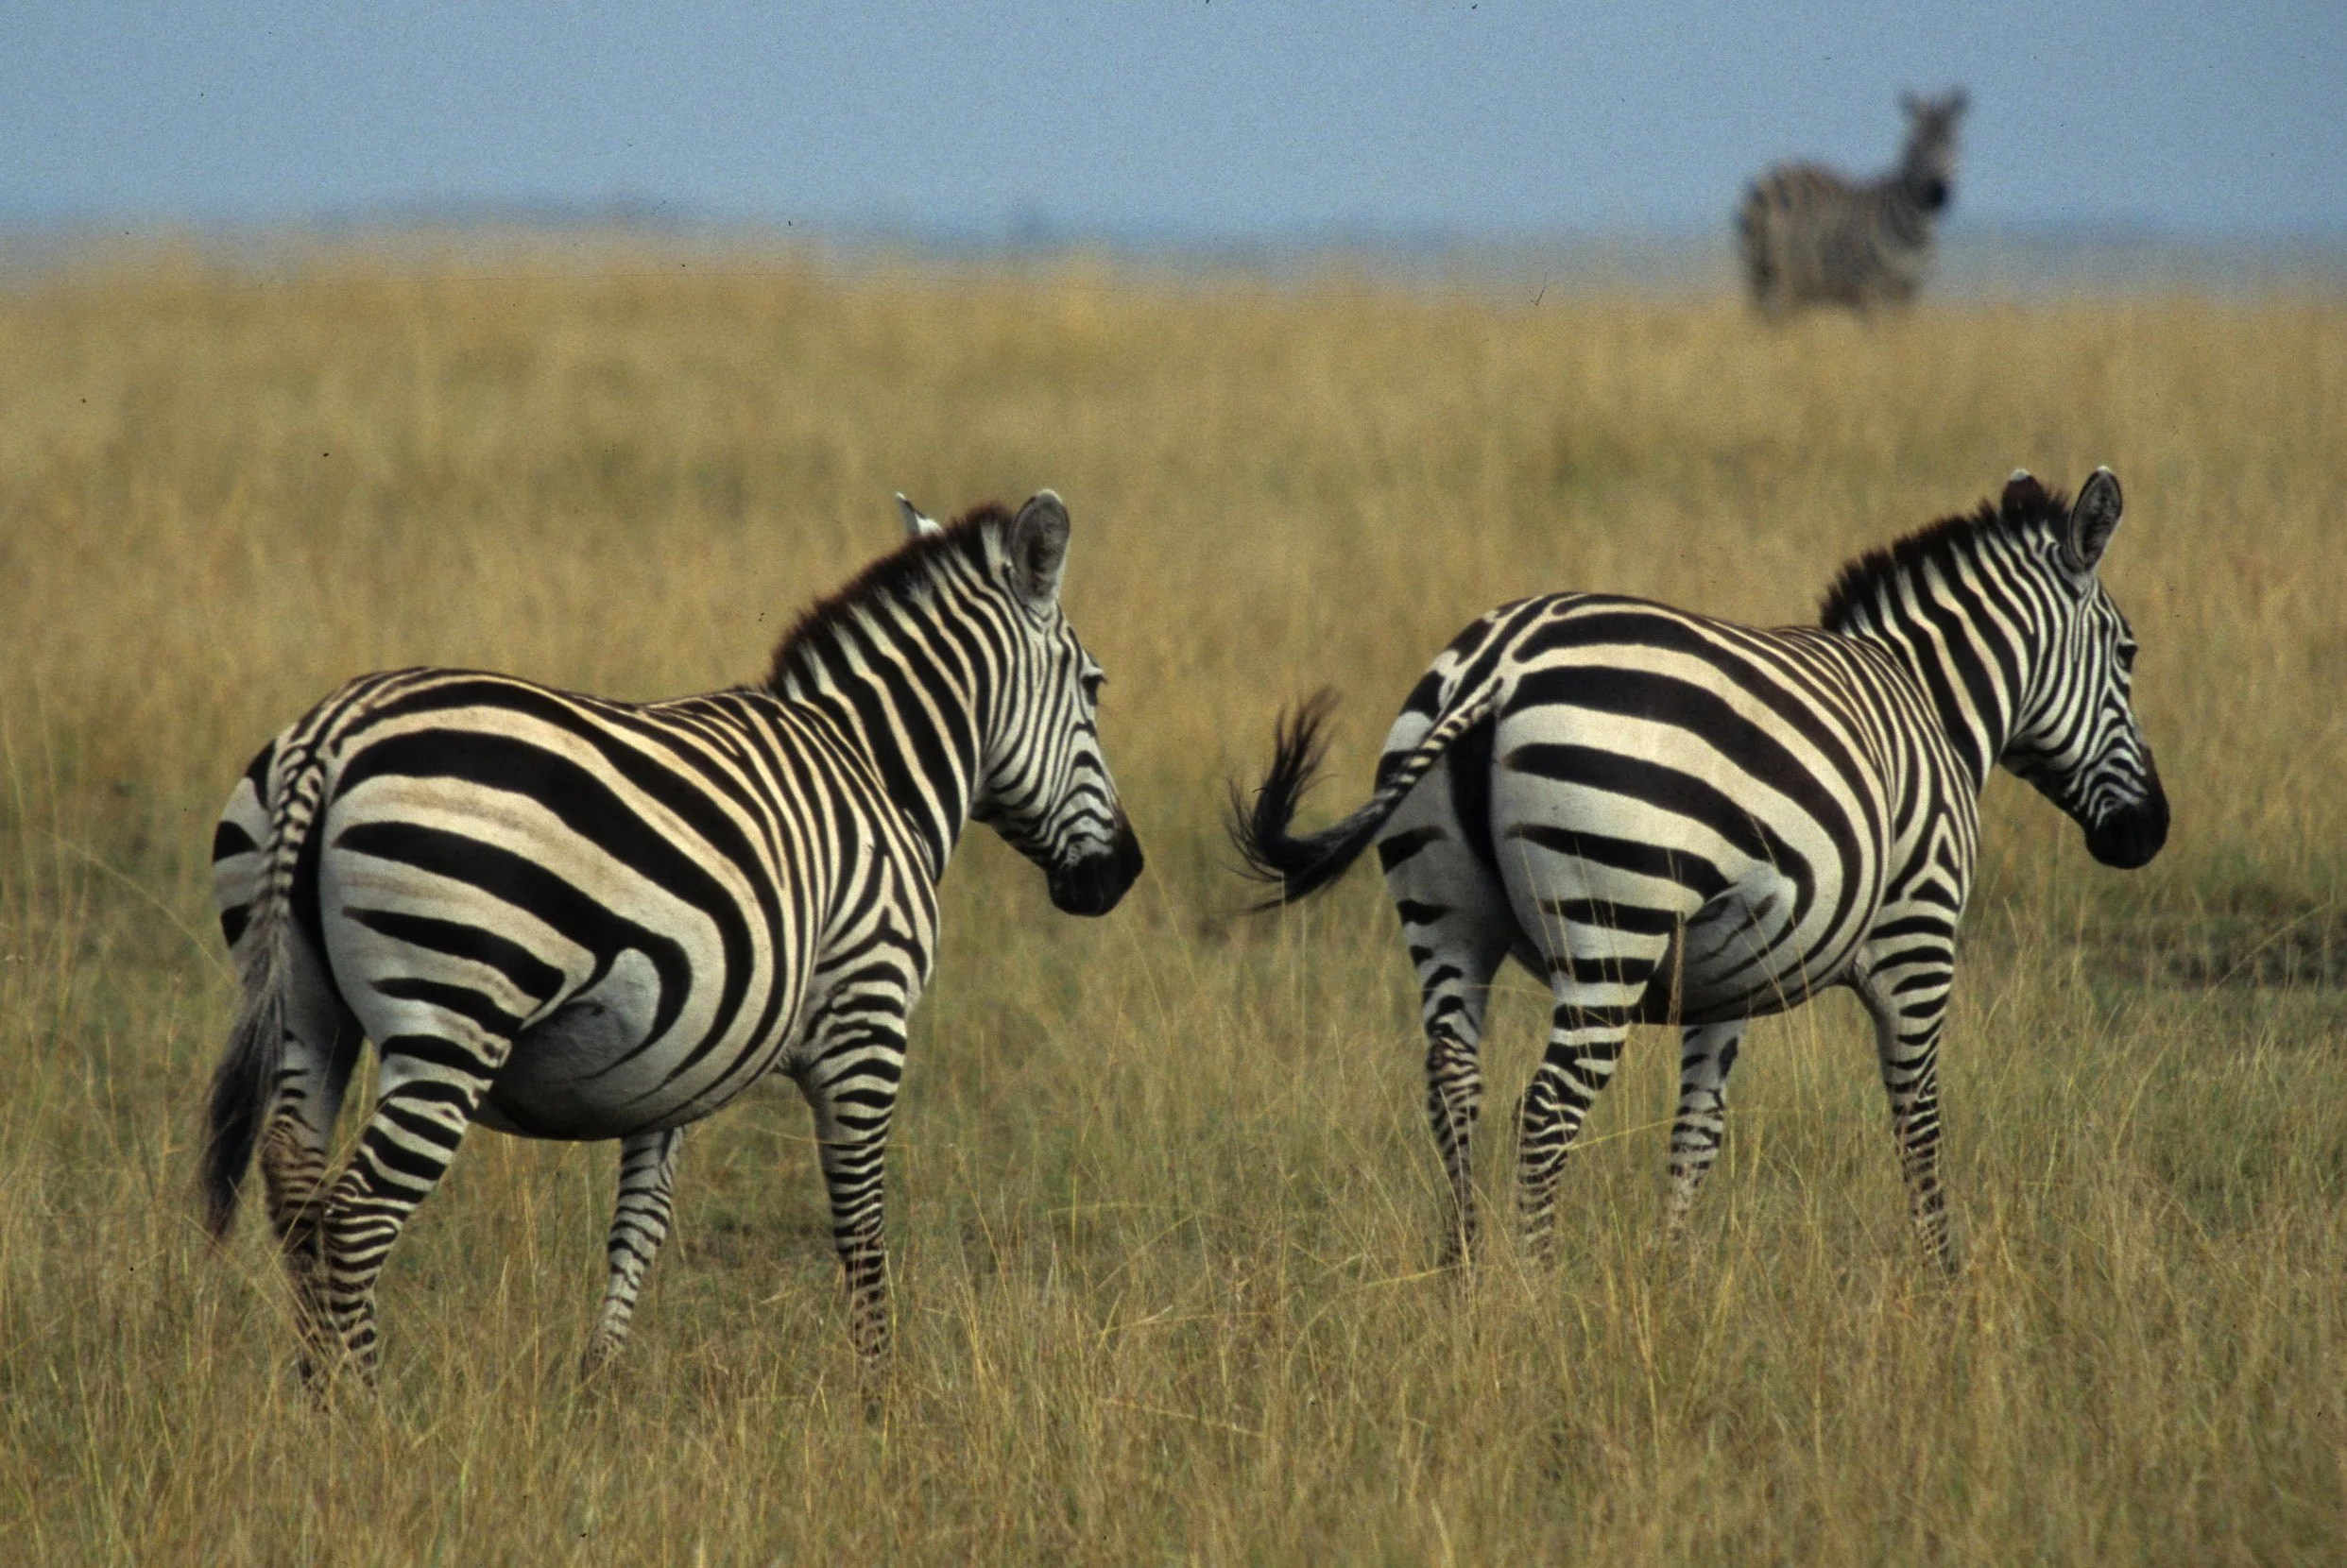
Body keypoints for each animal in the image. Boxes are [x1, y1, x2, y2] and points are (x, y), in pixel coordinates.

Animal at [201, 490, 1144, 1378]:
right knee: (355, 1218)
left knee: (295, 1189)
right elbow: (861, 1225)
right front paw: (883, 1390)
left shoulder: (678, 1061)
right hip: (453, 1015)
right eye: (1096, 687)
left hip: (306, 1009)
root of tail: (331, 736)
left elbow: (641, 1227)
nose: (1124, 874)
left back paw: (315, 1394)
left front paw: (597, 1381)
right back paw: (364, 1408)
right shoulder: (868, 1020)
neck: (875, 769)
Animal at [1232, 469, 2164, 1268]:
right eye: (2128, 654)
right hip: (1612, 932)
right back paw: (1534, 1296)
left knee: (1455, 1091)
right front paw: (1946, 1280)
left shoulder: (1724, 981)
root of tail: (1500, 665)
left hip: (1446, 921)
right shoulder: (1919, 940)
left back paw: (1463, 1283)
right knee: (1545, 1113)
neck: (1934, 705)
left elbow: (1697, 1133)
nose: (2149, 833)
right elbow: (1920, 1121)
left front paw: (1670, 1275)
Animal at [1736, 89, 1968, 316]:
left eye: (1956, 146)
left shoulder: (1908, 292)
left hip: (1794, 284)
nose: (1937, 193)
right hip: (1761, 271)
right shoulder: (1869, 291)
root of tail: (1778, 168)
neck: (1916, 230)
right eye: (1915, 147)